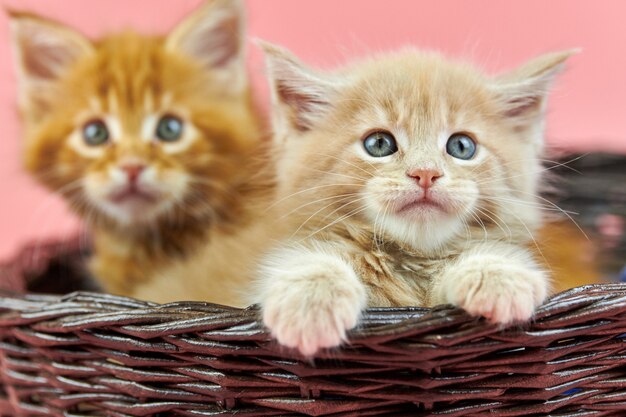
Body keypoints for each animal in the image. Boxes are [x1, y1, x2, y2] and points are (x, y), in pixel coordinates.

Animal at [251, 42, 572, 354]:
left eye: (461, 146)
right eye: (379, 143)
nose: (425, 173)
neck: (412, 259)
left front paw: (496, 274)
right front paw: (312, 298)